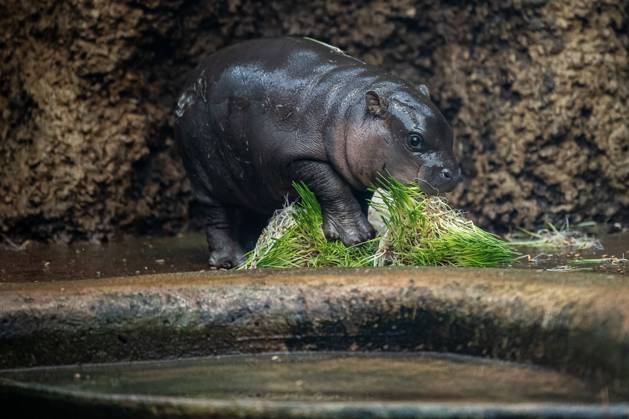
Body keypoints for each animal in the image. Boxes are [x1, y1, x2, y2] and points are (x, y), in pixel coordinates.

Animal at [174, 37, 458, 270]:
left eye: (449, 131)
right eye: (414, 140)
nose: (454, 174)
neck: (348, 110)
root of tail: (185, 87)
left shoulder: (357, 170)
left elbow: (360, 199)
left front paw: (366, 241)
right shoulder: (300, 157)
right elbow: (333, 187)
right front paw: (354, 237)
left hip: (251, 180)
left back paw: (253, 250)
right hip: (204, 175)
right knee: (216, 217)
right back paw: (231, 261)